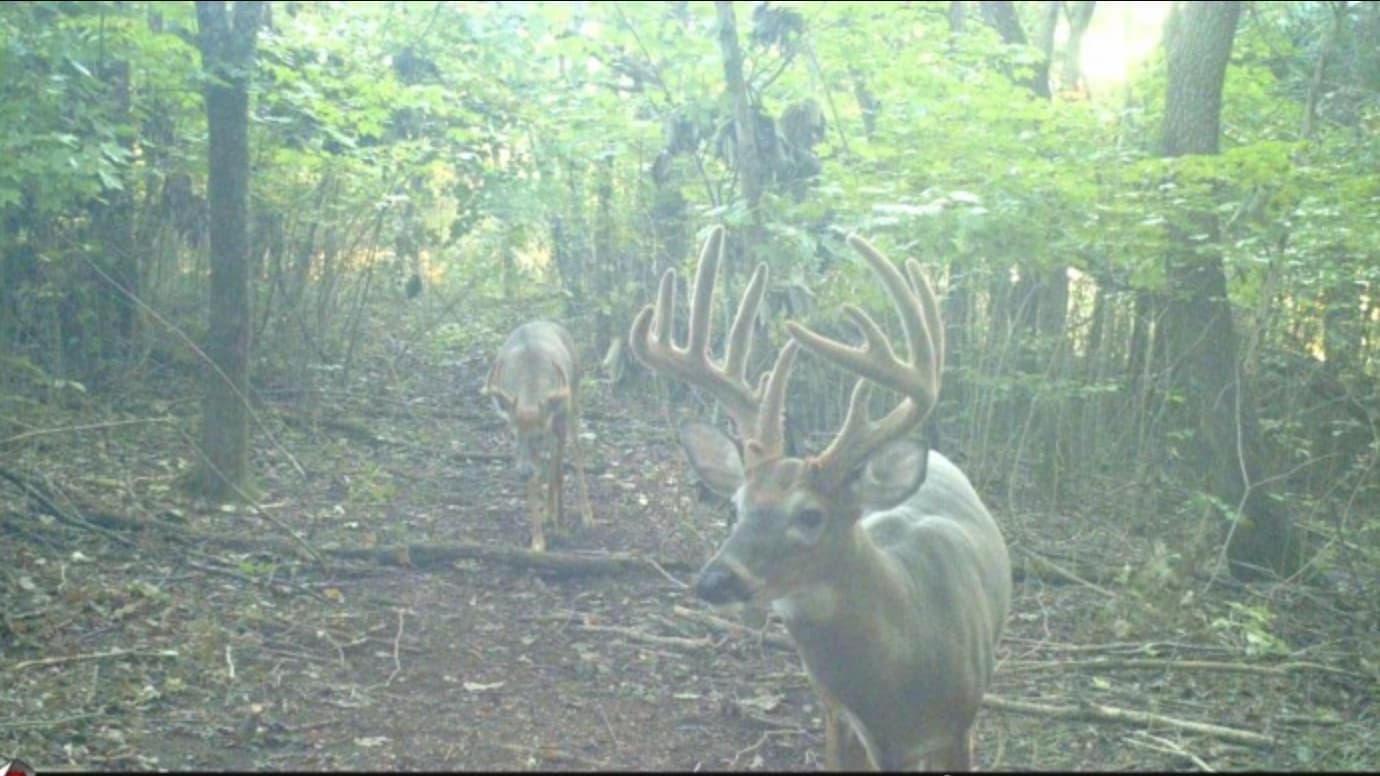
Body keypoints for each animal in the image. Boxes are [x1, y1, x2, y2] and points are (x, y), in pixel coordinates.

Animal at [482, 320, 595, 552]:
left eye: (539, 434)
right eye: (513, 434)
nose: (523, 471)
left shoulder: (559, 422)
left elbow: (559, 474)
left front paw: (562, 527)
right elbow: (536, 481)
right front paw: (537, 540)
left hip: (574, 398)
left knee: (576, 452)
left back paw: (586, 515)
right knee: (546, 465)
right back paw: (547, 512)